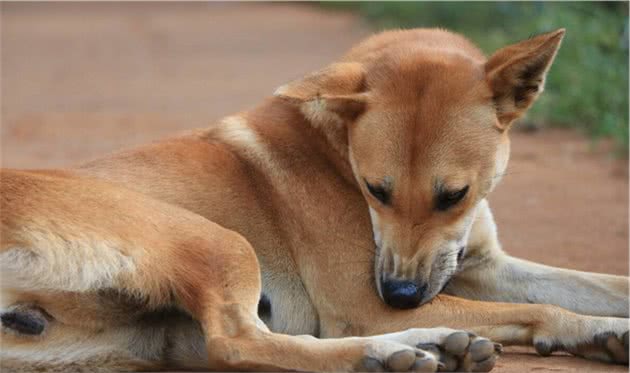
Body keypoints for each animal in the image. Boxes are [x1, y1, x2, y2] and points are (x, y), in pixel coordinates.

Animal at [1, 26, 630, 370]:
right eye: (376, 190)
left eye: (454, 195)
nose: (401, 295)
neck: (334, 143)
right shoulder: (363, 303)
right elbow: (539, 308)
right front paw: (592, 329)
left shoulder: (477, 262)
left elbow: (595, 284)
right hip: (216, 241)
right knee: (239, 344)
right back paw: (386, 355)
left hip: (144, 337)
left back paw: (428, 346)